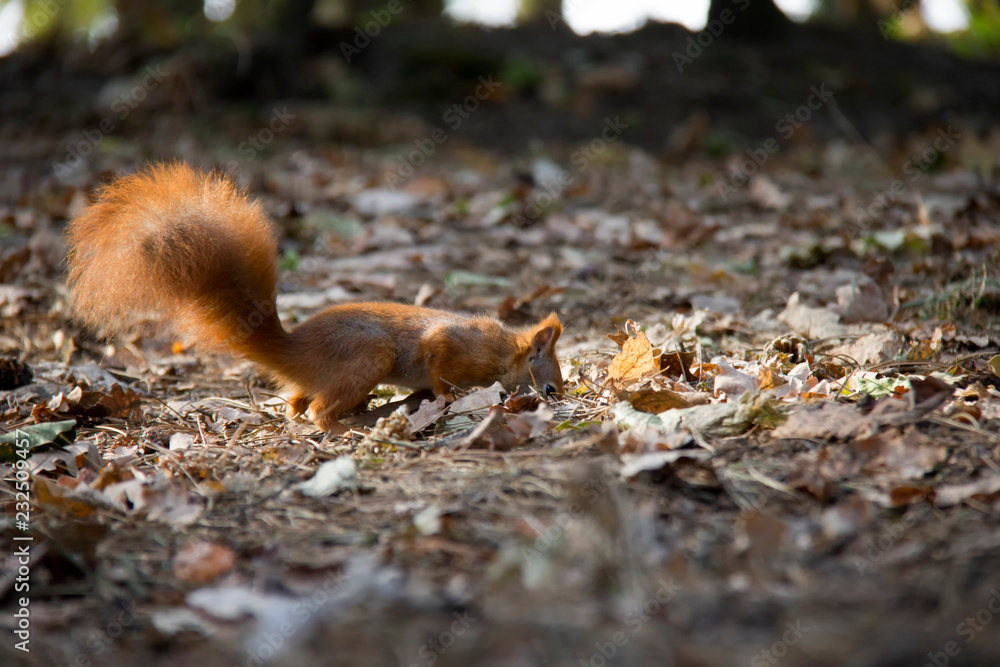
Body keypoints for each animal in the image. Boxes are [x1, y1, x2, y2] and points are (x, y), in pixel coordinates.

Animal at [65, 163, 563, 431]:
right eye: (551, 387)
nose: (558, 405)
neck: (505, 350)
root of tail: (294, 350)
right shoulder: (456, 346)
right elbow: (439, 367)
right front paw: (447, 398)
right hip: (370, 355)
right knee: (318, 411)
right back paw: (345, 426)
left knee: (296, 403)